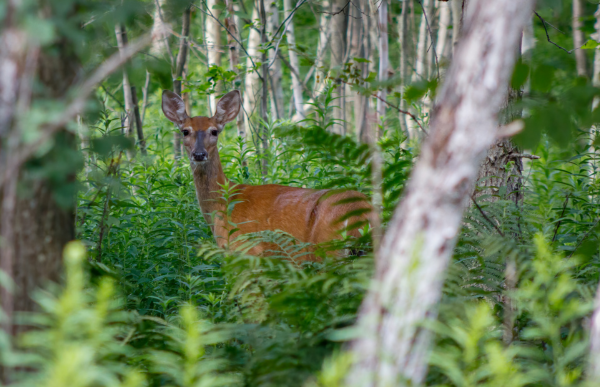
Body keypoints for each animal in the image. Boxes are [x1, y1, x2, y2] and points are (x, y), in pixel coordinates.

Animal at [162, 89, 372, 262]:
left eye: (214, 131)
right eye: (185, 131)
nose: (199, 154)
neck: (222, 203)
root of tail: (360, 213)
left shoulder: (247, 251)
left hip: (326, 250)